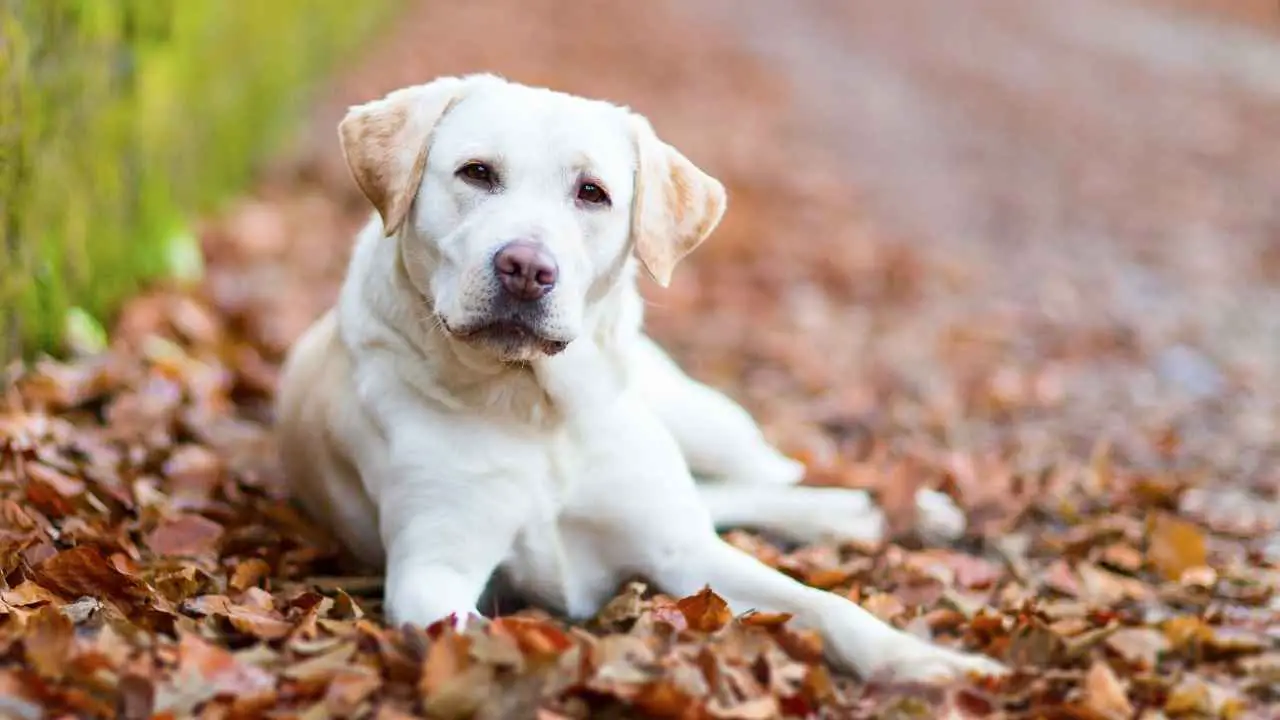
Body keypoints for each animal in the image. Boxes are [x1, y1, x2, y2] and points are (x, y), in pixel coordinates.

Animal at [275, 74, 1003, 681]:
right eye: (476, 173)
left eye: (591, 192)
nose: (526, 268)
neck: (536, 407)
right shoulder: (433, 572)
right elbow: (494, 637)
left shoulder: (686, 553)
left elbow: (825, 605)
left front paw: (928, 663)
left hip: (701, 418)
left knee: (771, 472)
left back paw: (897, 507)